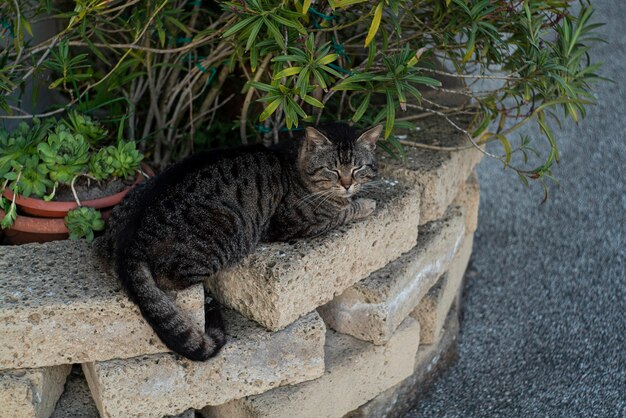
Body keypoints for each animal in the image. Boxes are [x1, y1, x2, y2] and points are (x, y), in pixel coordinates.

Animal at [95, 123, 380, 360]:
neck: (294, 163)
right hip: (226, 227)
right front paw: (365, 203)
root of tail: (130, 241)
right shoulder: (292, 223)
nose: (347, 184)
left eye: (358, 168)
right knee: (171, 279)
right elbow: (343, 212)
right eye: (332, 169)